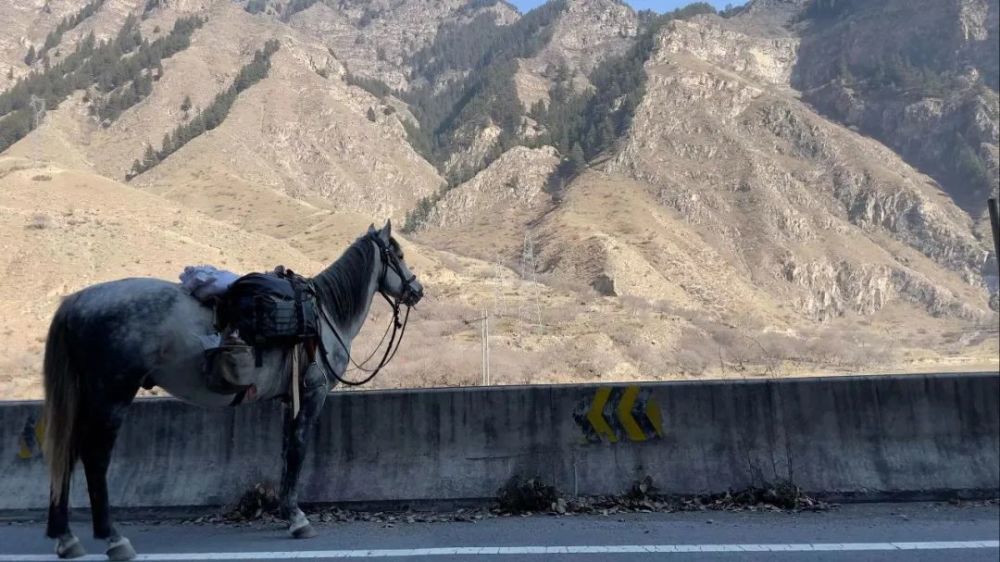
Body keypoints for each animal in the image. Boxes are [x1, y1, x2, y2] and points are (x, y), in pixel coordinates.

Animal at [39, 221, 420, 556]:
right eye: (399, 254)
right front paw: (297, 519)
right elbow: (298, 450)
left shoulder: (288, 400)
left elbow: (285, 452)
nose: (417, 290)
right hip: (111, 395)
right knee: (94, 457)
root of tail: (77, 302)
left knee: (67, 451)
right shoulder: (313, 394)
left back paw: (65, 537)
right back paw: (113, 538)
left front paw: (286, 512)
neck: (321, 315)